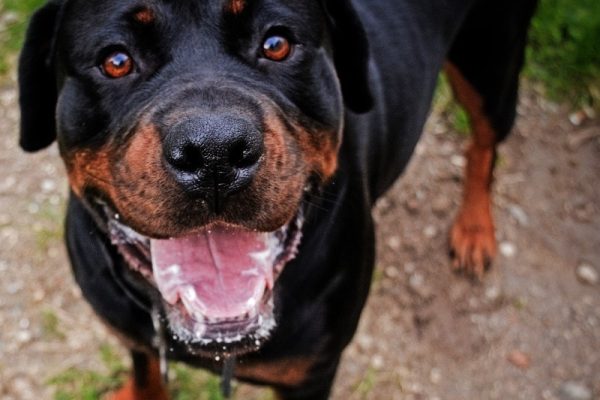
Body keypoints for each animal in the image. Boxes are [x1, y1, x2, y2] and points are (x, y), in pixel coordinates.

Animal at [18, 0, 536, 398]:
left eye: (277, 44)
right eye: (116, 60)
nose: (215, 151)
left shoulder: (311, 372)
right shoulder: (133, 332)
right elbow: (146, 370)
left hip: (491, 63)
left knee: (484, 144)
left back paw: (474, 230)